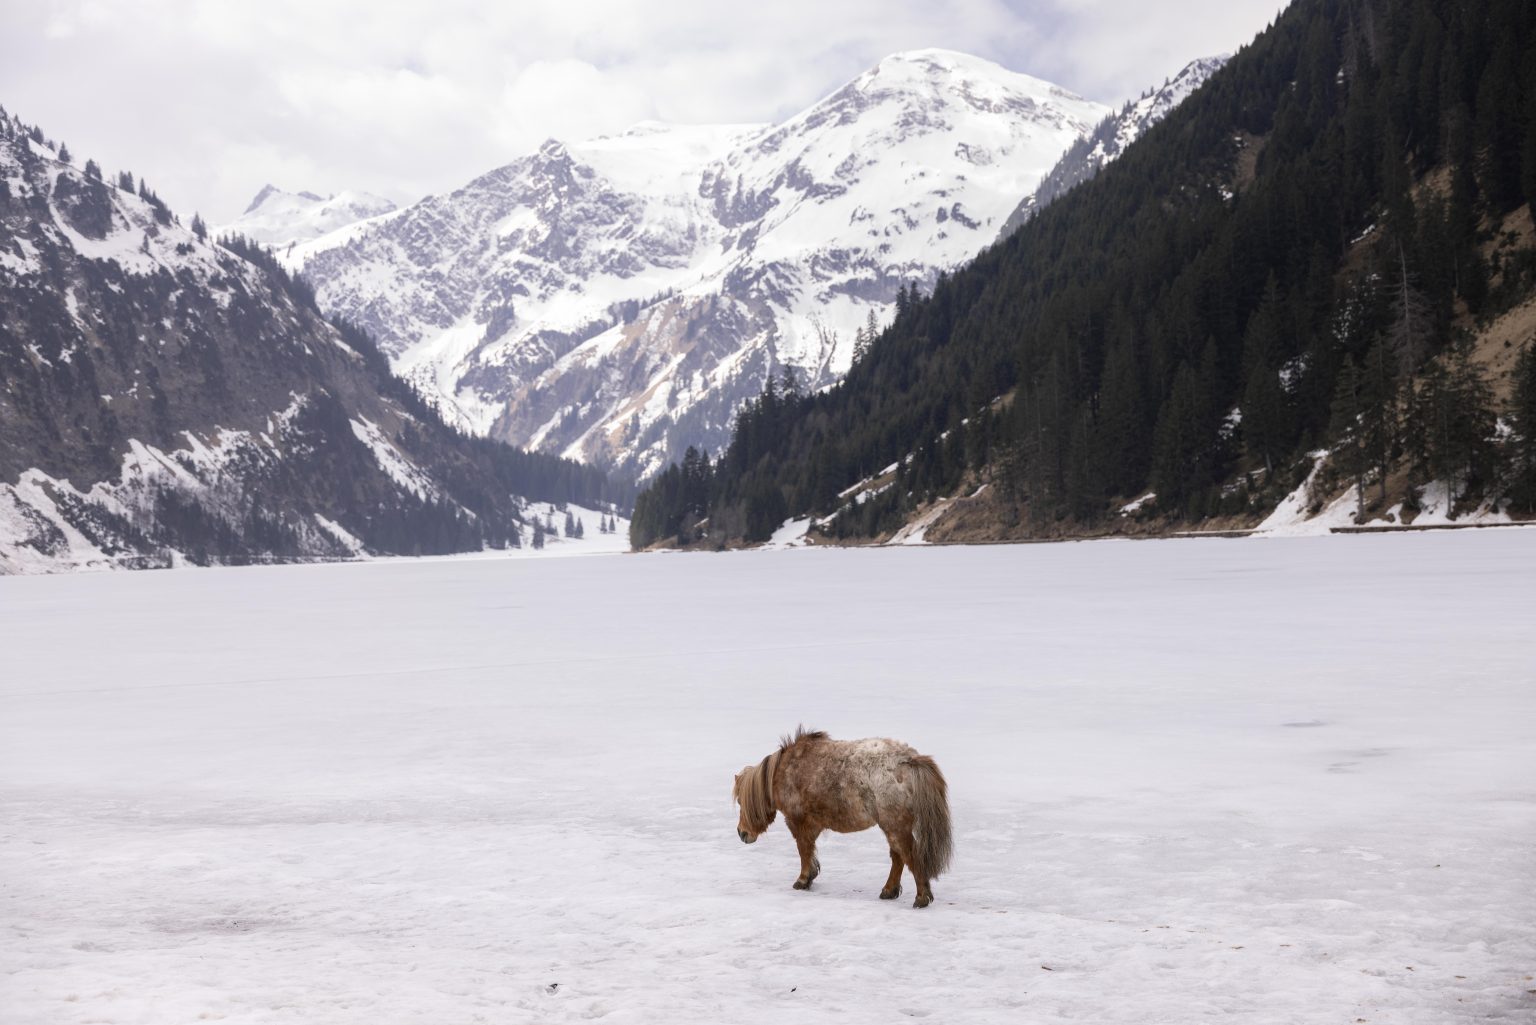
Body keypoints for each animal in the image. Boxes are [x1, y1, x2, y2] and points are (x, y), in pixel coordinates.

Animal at [732, 727, 953, 908]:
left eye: (741, 802)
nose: (742, 833)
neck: (784, 771)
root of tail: (909, 760)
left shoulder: (798, 822)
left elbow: (803, 850)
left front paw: (803, 880)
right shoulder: (812, 825)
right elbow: (809, 851)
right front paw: (810, 876)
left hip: (895, 826)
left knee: (909, 856)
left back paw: (921, 897)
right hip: (892, 826)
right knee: (898, 857)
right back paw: (889, 891)